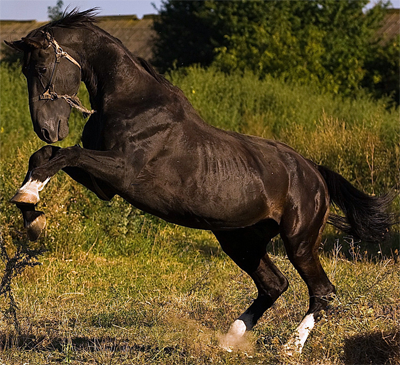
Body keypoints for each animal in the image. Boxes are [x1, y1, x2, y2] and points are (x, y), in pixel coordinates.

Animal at [4, 8, 396, 354]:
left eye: (41, 67)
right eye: (24, 71)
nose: (47, 127)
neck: (131, 101)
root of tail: (315, 172)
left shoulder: (122, 172)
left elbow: (65, 154)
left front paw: (30, 202)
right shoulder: (106, 186)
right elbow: (46, 156)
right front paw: (31, 212)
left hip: (298, 241)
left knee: (322, 291)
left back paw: (290, 347)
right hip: (240, 240)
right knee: (274, 284)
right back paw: (229, 340)